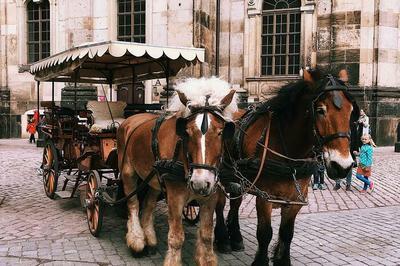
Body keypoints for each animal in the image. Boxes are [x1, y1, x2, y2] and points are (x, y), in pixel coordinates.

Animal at [117, 77, 238, 266]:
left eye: (221, 132)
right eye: (187, 131)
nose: (200, 182)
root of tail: (131, 118)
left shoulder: (210, 197)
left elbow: (206, 234)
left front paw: (206, 258)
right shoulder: (175, 197)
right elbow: (176, 237)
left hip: (155, 179)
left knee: (149, 204)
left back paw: (150, 240)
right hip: (128, 173)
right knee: (133, 204)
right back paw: (137, 240)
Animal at [214, 67, 358, 264]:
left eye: (350, 111)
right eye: (320, 110)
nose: (342, 166)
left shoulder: (296, 198)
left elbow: (286, 233)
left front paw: (282, 259)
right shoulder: (265, 197)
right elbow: (265, 233)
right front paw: (260, 261)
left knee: (236, 203)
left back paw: (235, 237)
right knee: (220, 205)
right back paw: (222, 240)